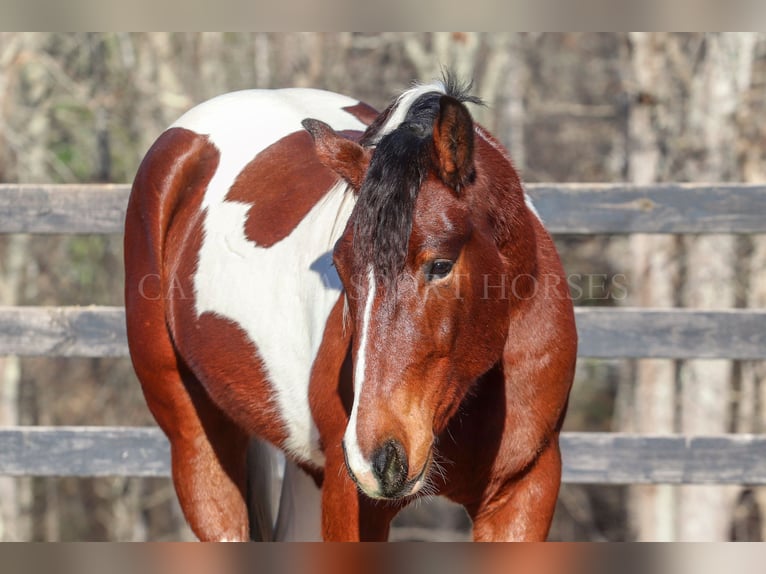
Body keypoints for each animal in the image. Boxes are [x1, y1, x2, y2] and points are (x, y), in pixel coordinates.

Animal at [126, 75, 580, 540]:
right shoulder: (349, 499)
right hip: (198, 446)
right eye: (341, 269)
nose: (378, 460)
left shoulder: (524, 490)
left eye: (440, 265)